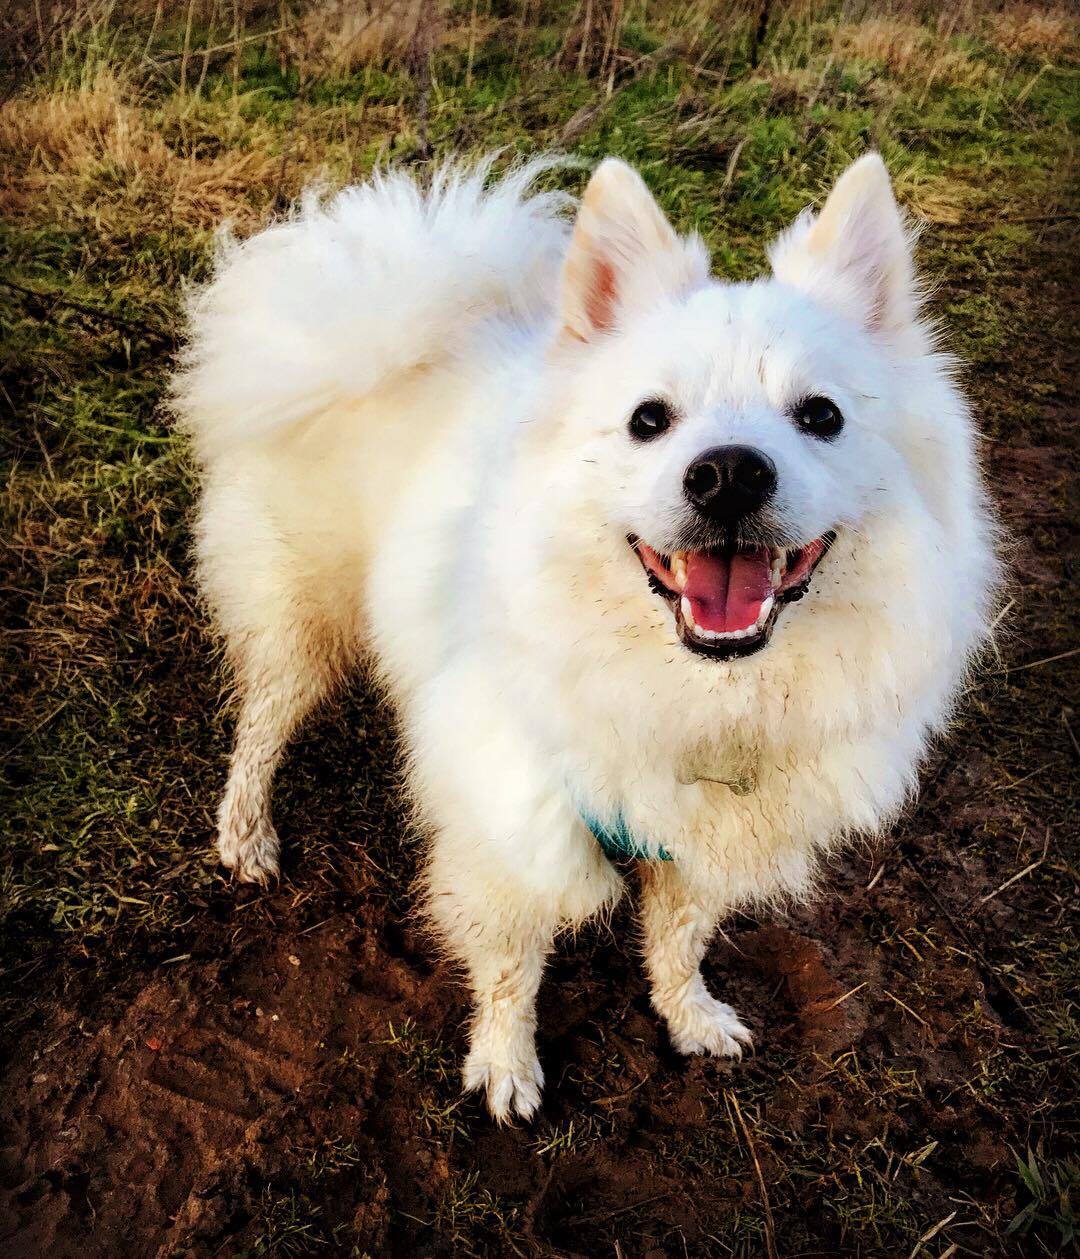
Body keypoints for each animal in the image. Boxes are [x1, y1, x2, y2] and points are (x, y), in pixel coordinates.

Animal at [174, 152, 997, 1120]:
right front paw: (504, 1064)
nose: (728, 474)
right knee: (262, 721)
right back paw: (247, 833)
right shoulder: (515, 829)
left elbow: (679, 939)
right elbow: (511, 968)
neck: (698, 696)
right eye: (649, 418)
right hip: (305, 617)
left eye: (821, 415)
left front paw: (689, 1016)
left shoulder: (706, 842)